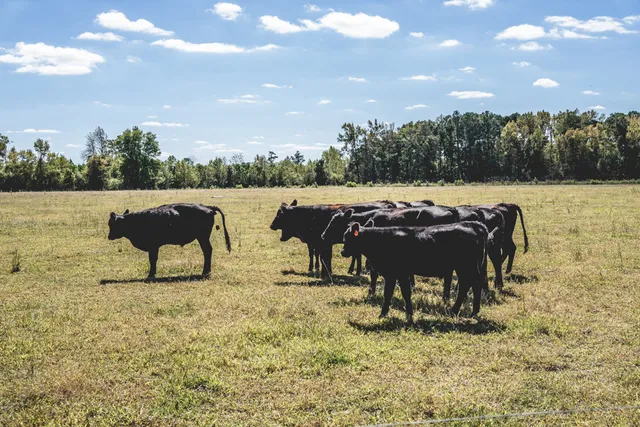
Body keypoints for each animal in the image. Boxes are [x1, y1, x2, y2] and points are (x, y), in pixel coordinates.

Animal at [341, 221, 488, 323]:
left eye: (347, 238)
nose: (343, 252)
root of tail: (474, 225)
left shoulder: (396, 273)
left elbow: (397, 293)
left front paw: (393, 314)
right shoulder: (396, 274)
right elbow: (397, 293)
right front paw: (399, 314)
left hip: (466, 267)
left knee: (467, 286)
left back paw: (455, 311)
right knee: (474, 286)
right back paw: (473, 311)